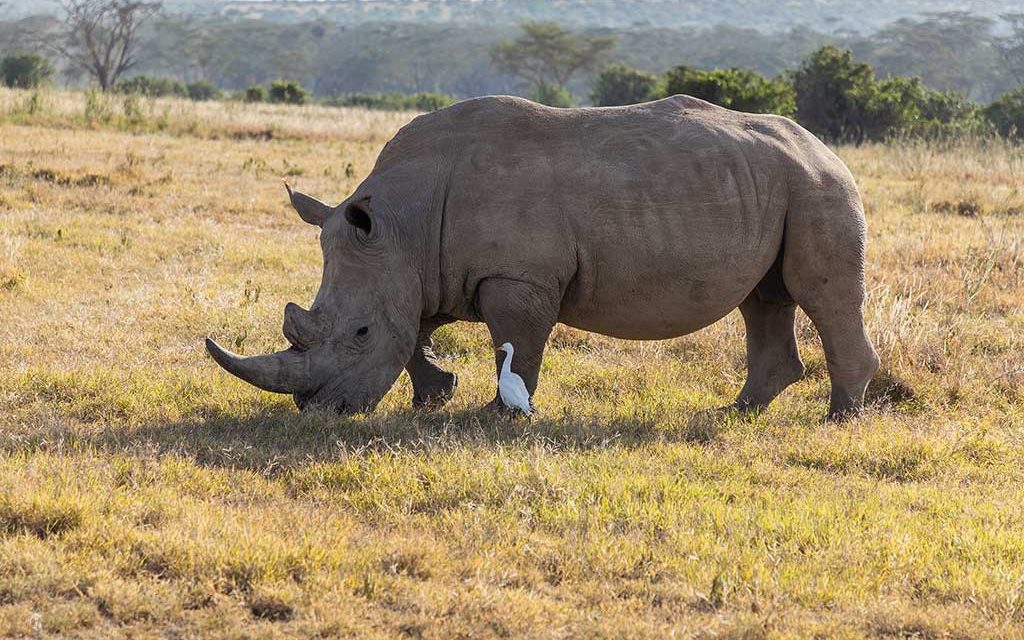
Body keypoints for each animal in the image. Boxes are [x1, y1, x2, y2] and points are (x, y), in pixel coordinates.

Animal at [206, 95, 880, 420]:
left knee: (820, 295)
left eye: (359, 333)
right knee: (763, 299)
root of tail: (822, 145)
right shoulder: (419, 267)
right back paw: (737, 412)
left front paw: (496, 413)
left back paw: (838, 419)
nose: (319, 411)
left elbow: (518, 342)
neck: (403, 223)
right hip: (774, 184)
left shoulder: (517, 276)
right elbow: (416, 330)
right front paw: (434, 397)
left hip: (819, 187)